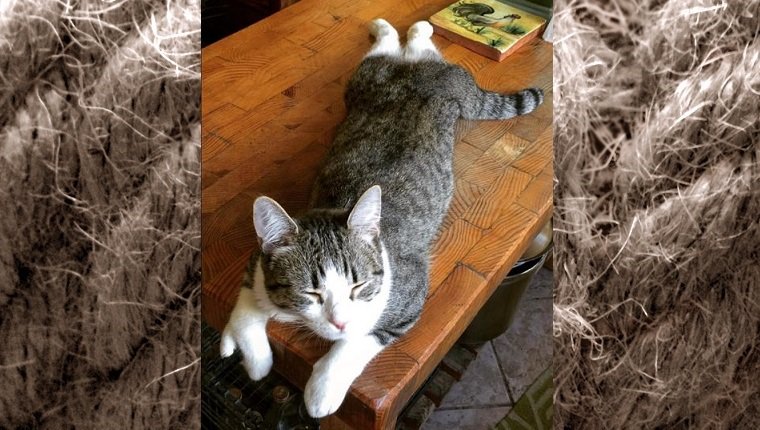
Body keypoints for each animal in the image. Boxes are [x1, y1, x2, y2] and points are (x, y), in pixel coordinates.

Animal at [220, 18, 548, 418]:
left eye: (359, 286)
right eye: (311, 292)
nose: (339, 321)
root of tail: (414, 70)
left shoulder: (410, 292)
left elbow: (358, 341)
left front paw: (321, 390)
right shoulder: (256, 264)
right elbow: (246, 306)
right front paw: (250, 357)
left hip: (461, 96)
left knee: (420, 51)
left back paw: (413, 31)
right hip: (364, 79)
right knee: (393, 48)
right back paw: (396, 29)